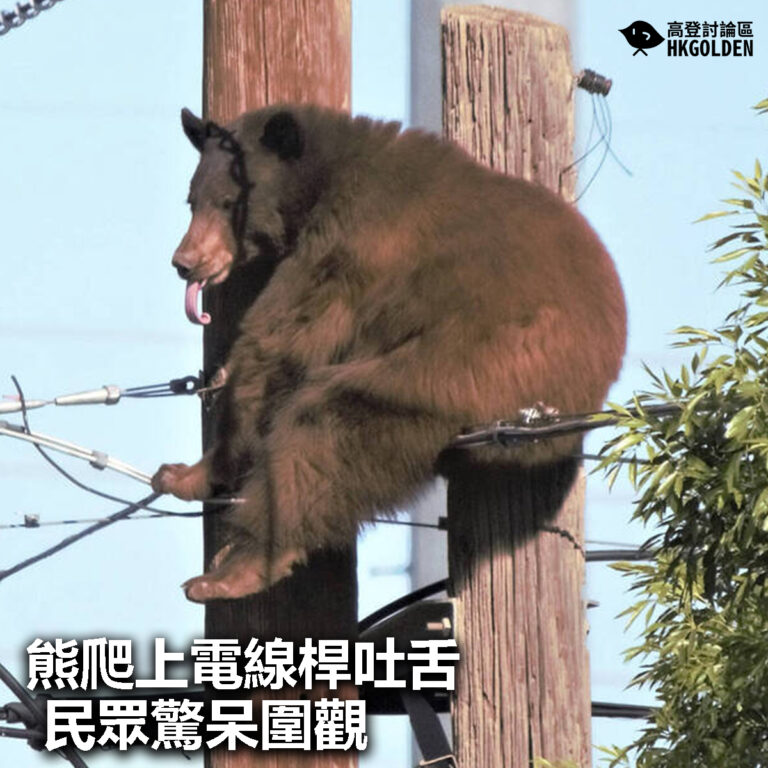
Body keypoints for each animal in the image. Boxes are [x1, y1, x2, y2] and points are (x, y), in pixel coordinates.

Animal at [151, 104, 626, 603]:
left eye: (228, 202)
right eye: (192, 200)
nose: (185, 261)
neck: (322, 179)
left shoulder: (349, 245)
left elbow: (281, 341)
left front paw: (189, 472)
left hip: (468, 367)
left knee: (325, 431)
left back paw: (234, 571)